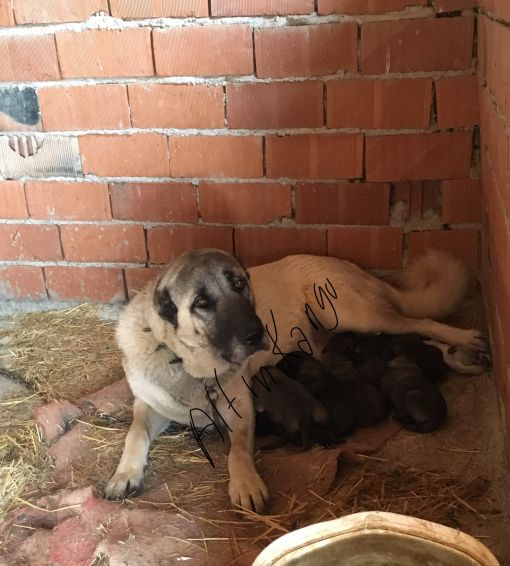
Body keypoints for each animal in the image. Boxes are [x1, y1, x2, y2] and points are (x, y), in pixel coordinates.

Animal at [103, 248, 486, 516]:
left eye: (239, 285)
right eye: (201, 302)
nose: (256, 333)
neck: (187, 363)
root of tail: (351, 266)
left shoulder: (242, 406)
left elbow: (238, 450)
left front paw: (245, 483)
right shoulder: (148, 405)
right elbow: (135, 432)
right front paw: (125, 473)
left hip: (354, 315)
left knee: (419, 323)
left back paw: (464, 340)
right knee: (415, 341)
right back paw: (460, 356)